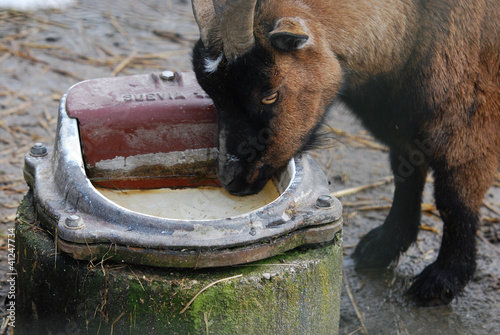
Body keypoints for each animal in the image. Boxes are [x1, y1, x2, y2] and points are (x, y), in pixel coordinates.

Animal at [190, 0, 500, 308]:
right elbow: (406, 175)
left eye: (269, 95)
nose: (230, 179)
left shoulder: (470, 121)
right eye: (211, 91)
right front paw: (384, 245)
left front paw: (443, 279)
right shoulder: (400, 121)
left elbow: (453, 200)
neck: (416, 21)